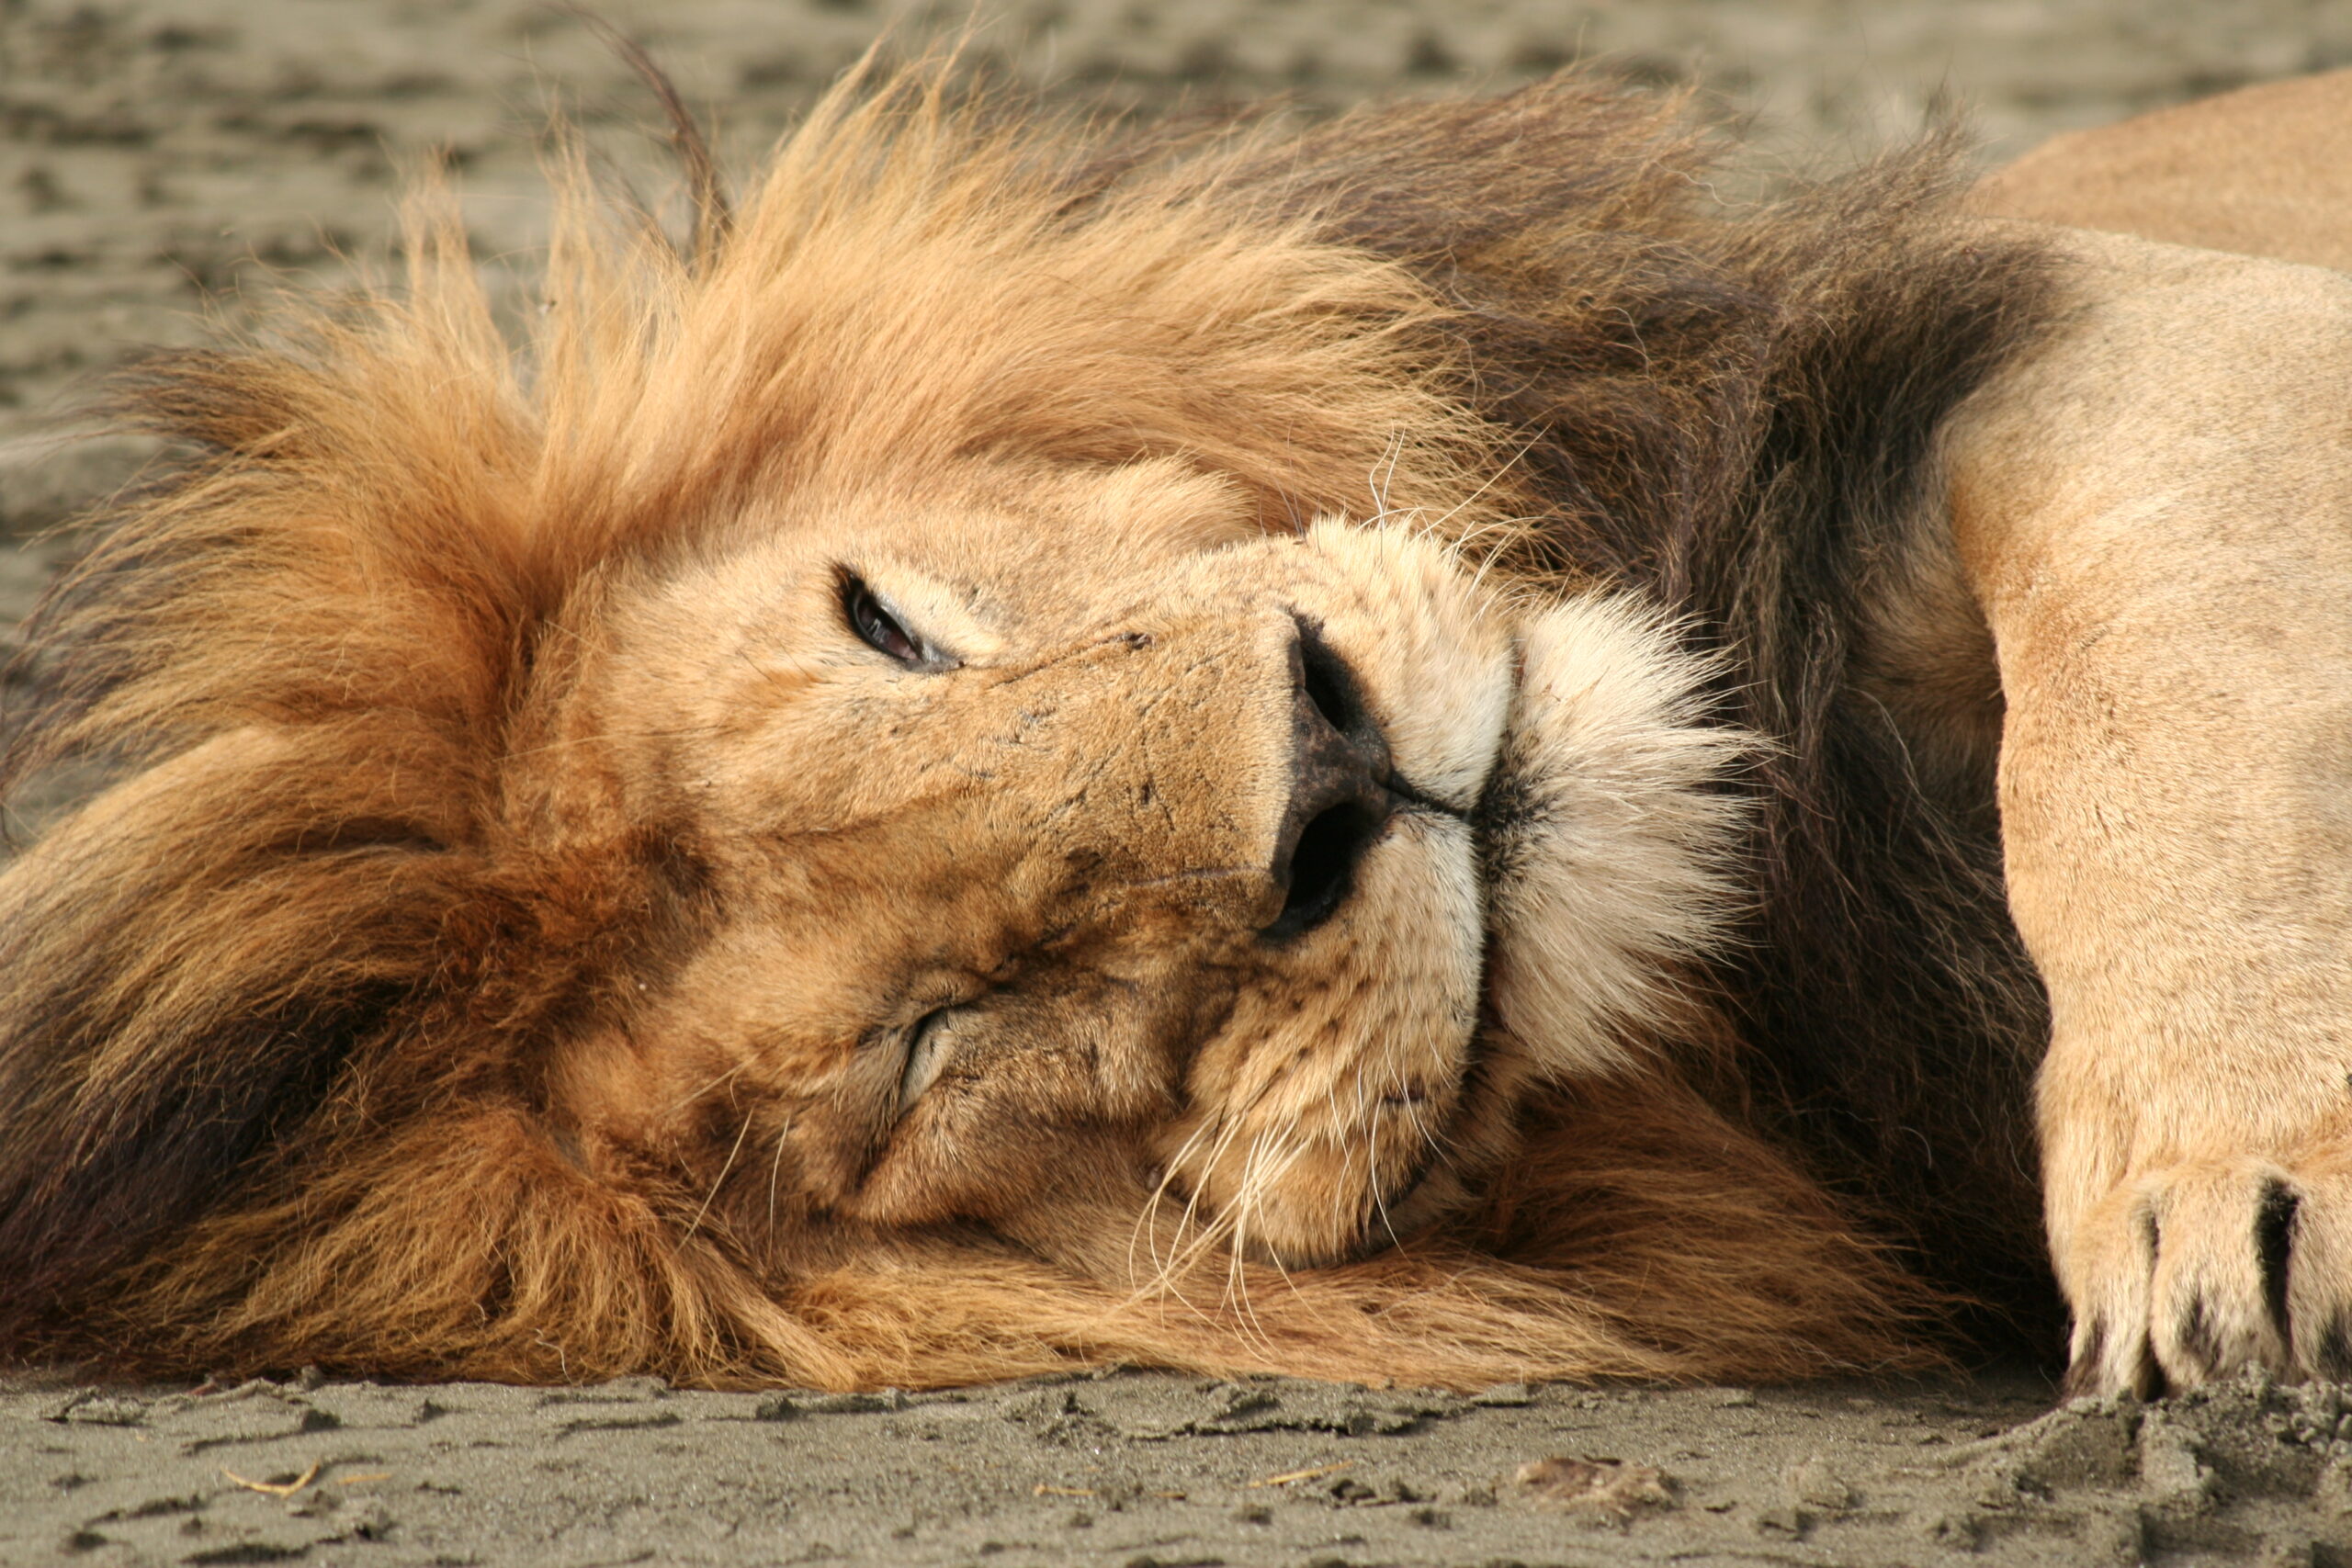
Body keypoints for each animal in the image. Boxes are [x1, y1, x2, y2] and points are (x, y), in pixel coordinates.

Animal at [0, 64, 2342, 1401]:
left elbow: (2151, 729)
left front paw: (2238, 1196)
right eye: (920, 1051)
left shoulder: (2111, 337)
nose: (1322, 773)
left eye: (890, 623)